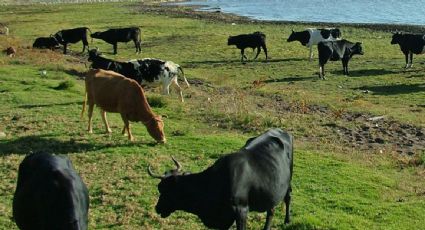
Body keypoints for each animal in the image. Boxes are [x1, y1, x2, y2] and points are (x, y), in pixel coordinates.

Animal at [148, 128, 292, 229]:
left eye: (164, 190)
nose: (157, 208)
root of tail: (280, 131)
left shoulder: (241, 211)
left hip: (288, 181)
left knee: (288, 198)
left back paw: (287, 221)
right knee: (271, 210)